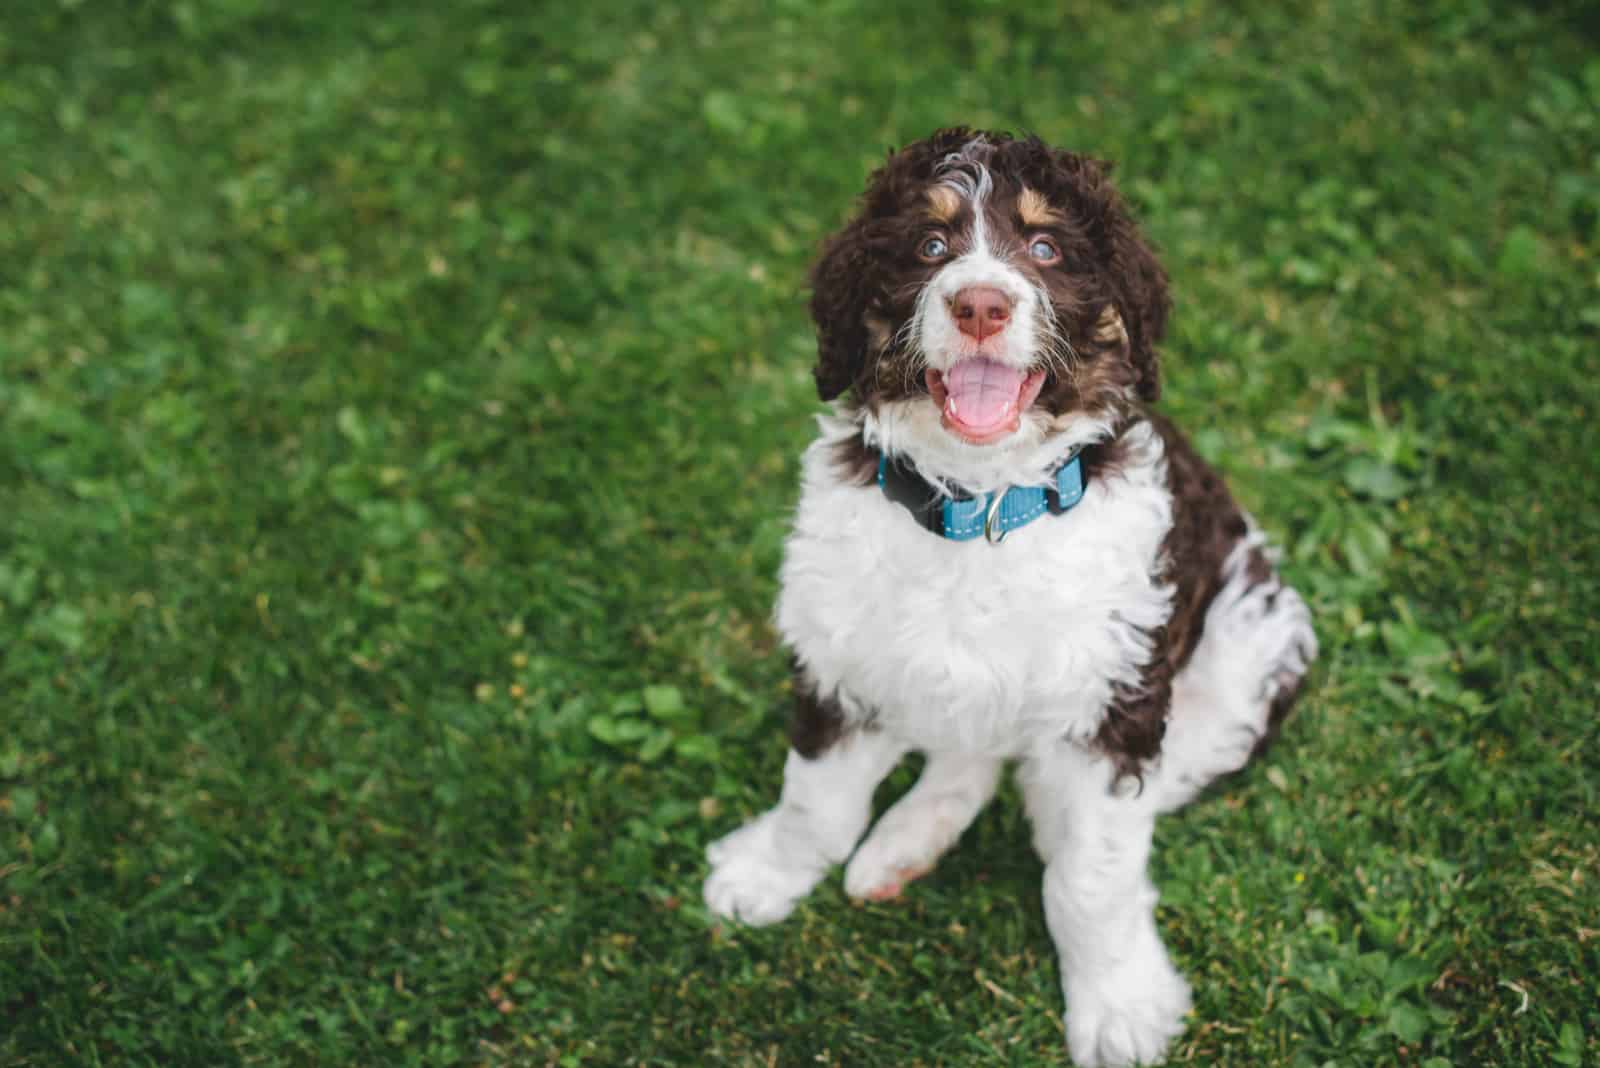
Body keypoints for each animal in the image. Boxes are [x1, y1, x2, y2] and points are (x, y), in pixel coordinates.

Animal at [700, 127, 1312, 1068]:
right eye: (929, 245)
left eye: (1048, 249)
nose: (981, 304)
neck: (981, 508)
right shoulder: (840, 654)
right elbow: (814, 798)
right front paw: (768, 871)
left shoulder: (1114, 701)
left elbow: (1092, 875)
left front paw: (1117, 1004)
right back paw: (903, 845)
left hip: (1247, 658)